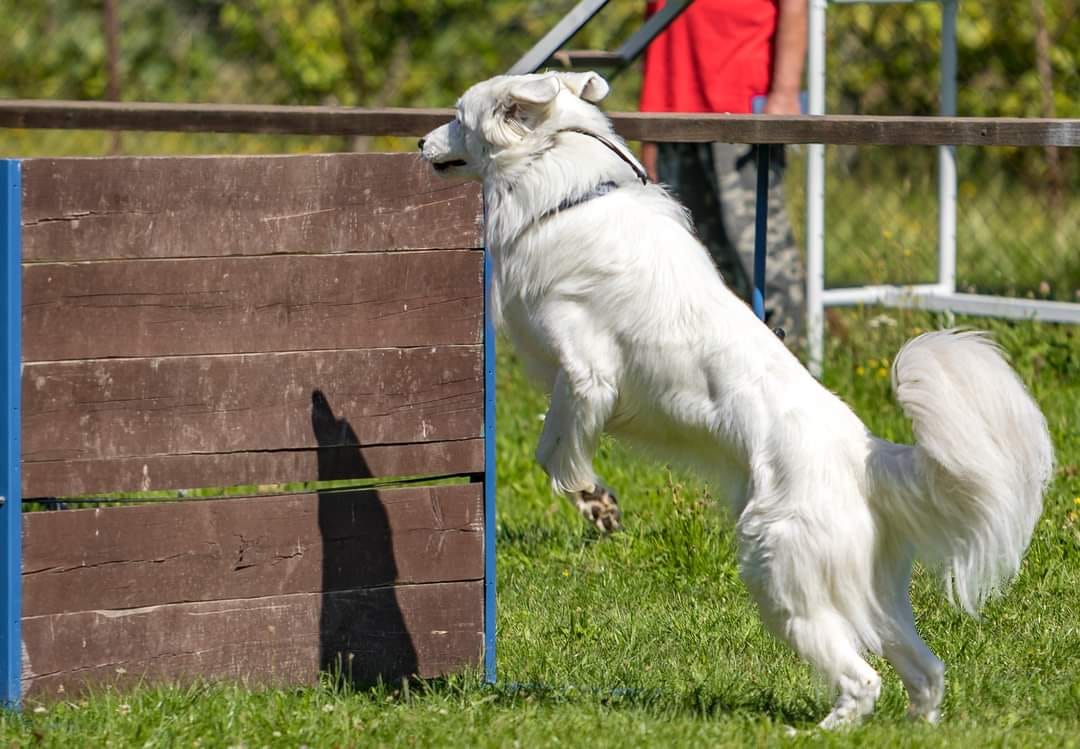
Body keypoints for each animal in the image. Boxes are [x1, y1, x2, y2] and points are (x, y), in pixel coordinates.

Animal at [416, 73, 1049, 729]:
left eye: (458, 118)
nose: (416, 143)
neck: (567, 190)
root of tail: (866, 454)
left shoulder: (587, 371)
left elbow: (556, 445)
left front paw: (591, 498)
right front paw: (597, 503)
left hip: (782, 577)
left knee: (863, 678)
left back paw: (818, 731)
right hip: (872, 595)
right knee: (925, 669)